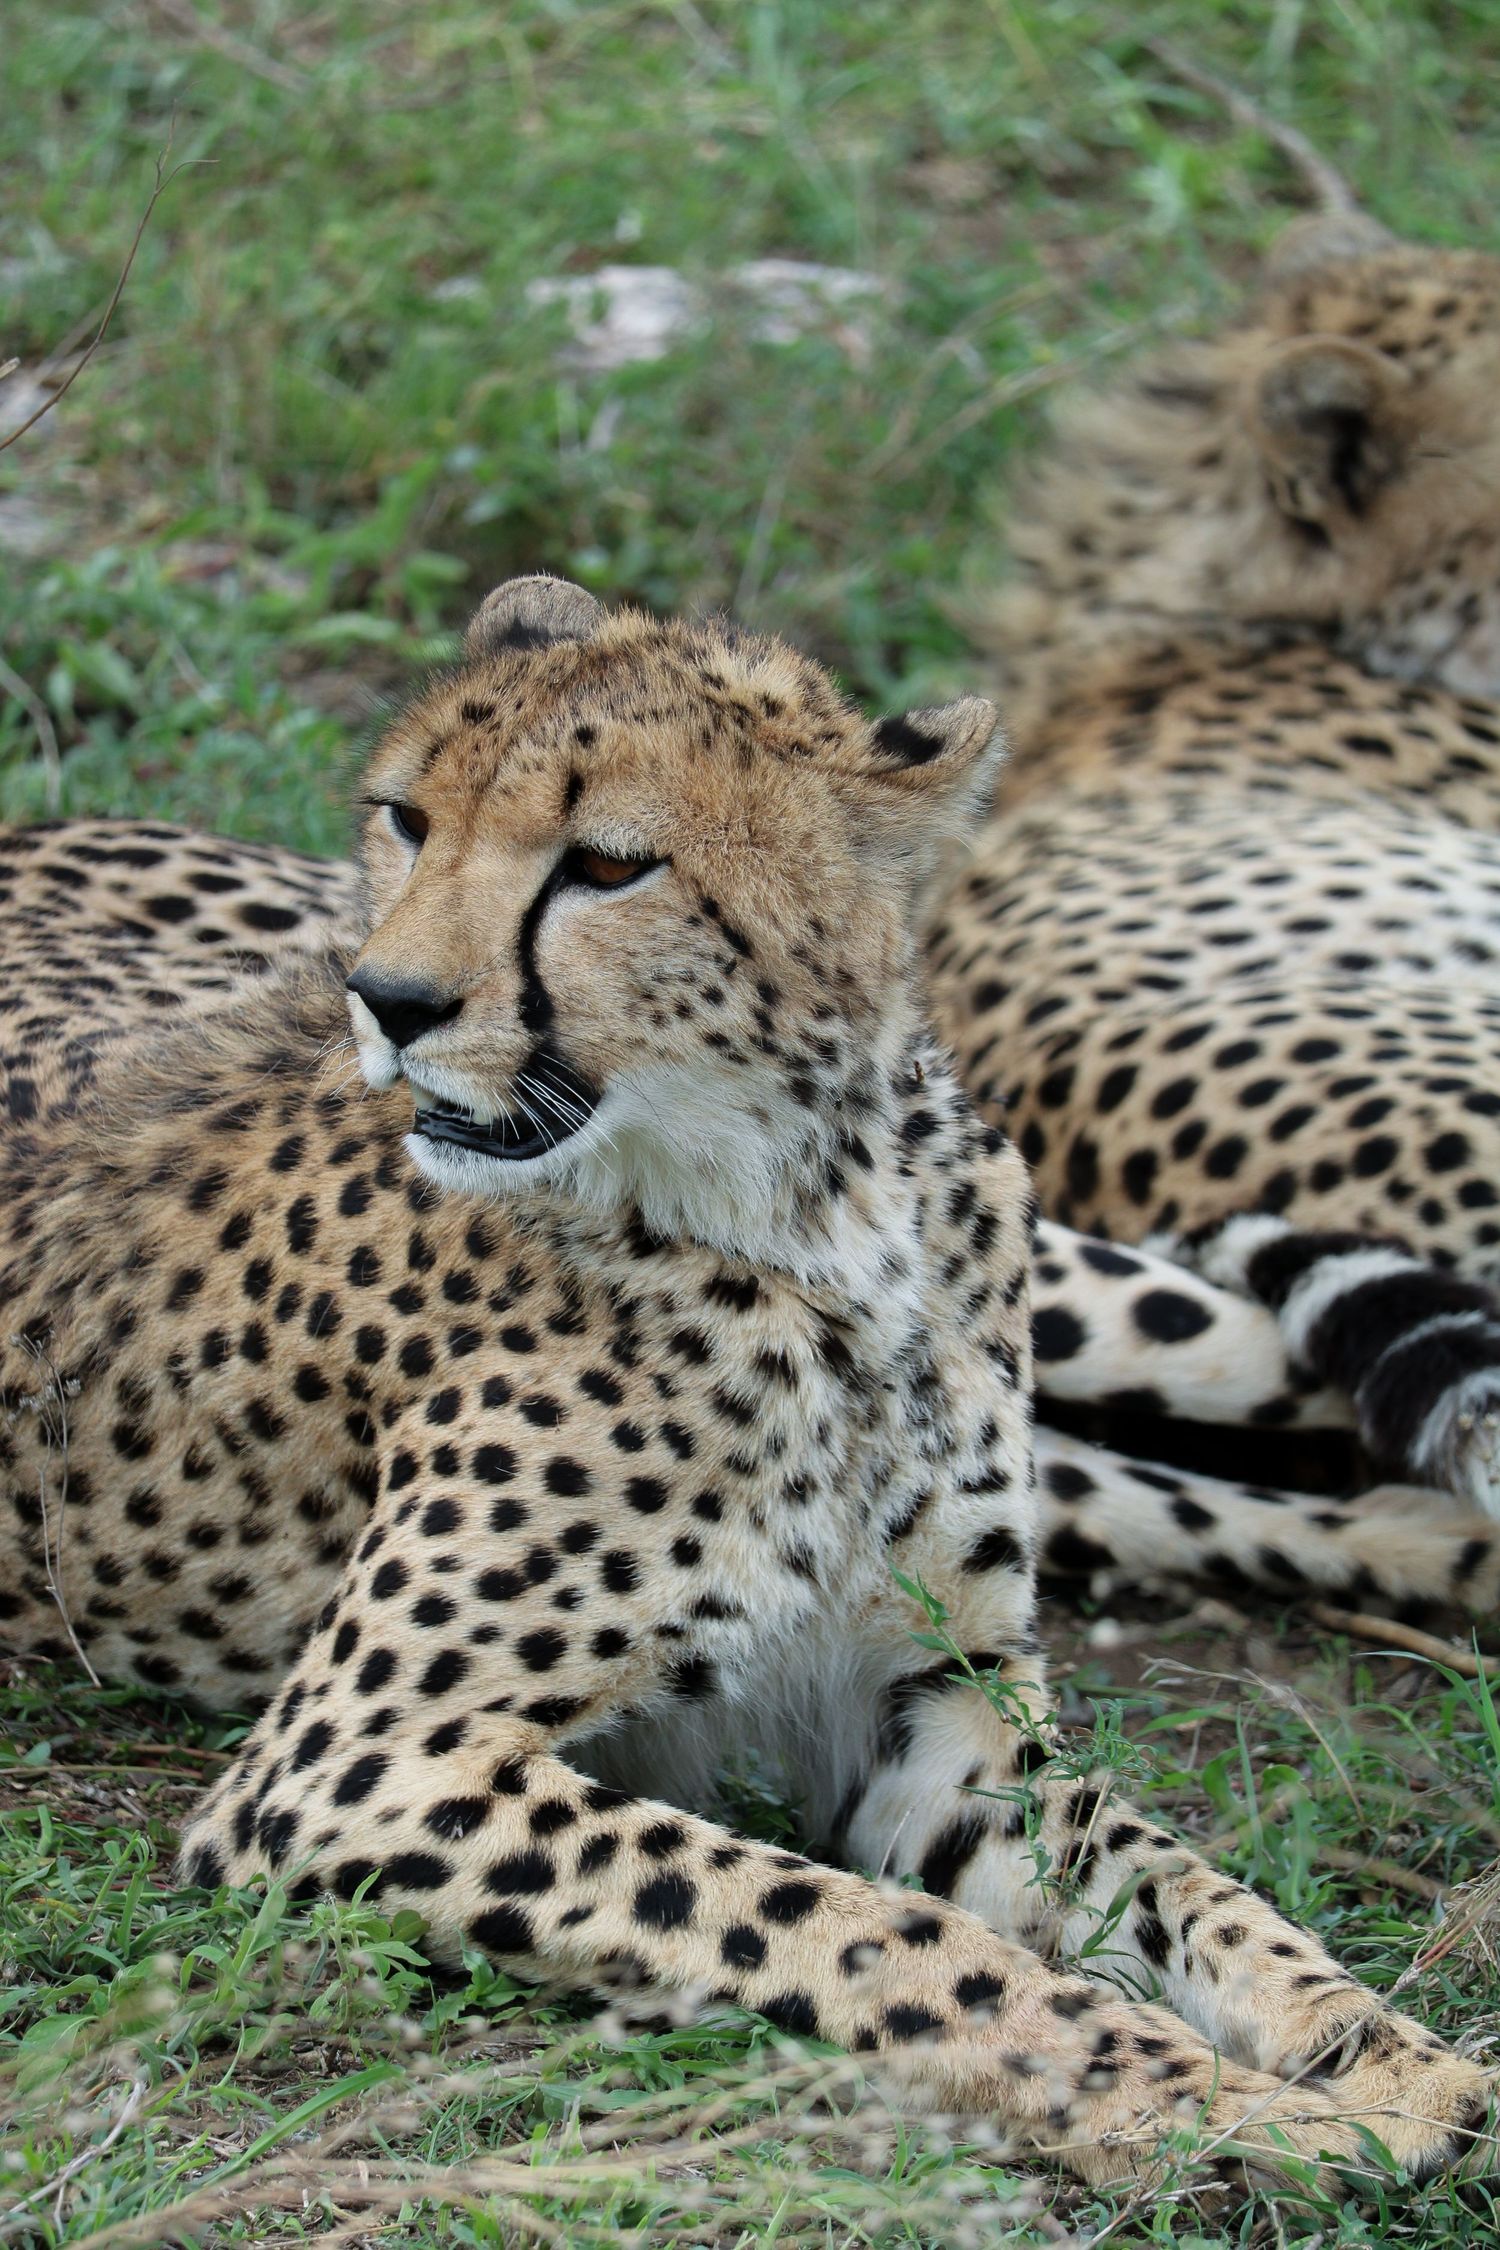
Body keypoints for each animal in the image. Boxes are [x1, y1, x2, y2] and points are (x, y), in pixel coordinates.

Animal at [2, 576, 1490, 2194]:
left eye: (606, 864)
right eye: (408, 818)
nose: (387, 999)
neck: (807, 1230)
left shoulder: (942, 1720)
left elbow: (1190, 1885)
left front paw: (1372, 2049)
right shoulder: (355, 1767)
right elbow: (890, 1938)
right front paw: (1222, 2104)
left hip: (1062, 1260)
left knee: (1247, 1353)